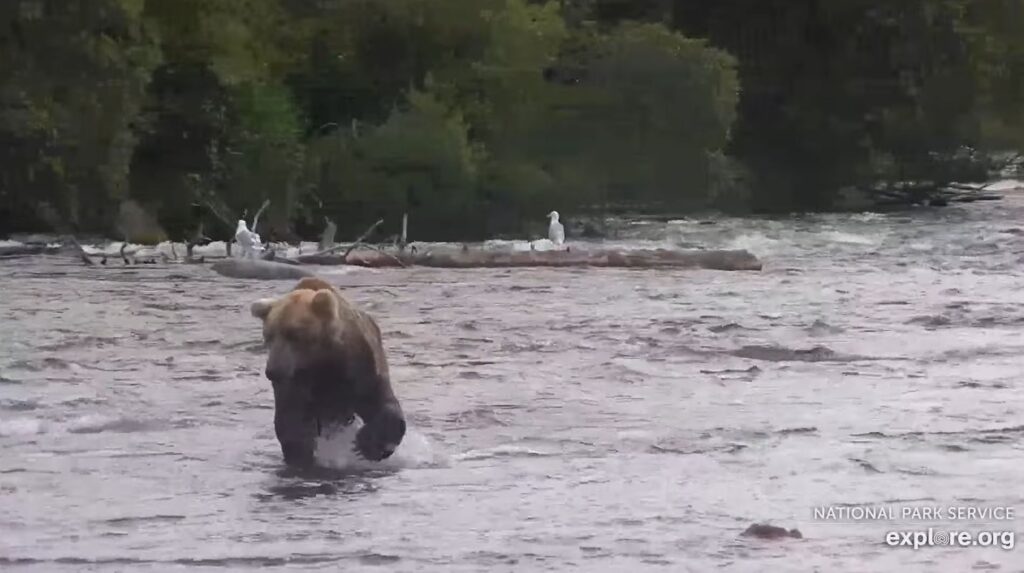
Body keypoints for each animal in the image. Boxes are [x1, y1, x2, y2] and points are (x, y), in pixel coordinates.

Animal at [249, 276, 405, 468]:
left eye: (293, 333)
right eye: (268, 335)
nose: (273, 371)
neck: (322, 359)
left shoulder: (360, 364)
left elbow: (379, 400)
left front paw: (367, 446)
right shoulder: (296, 382)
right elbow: (292, 418)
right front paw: (301, 453)